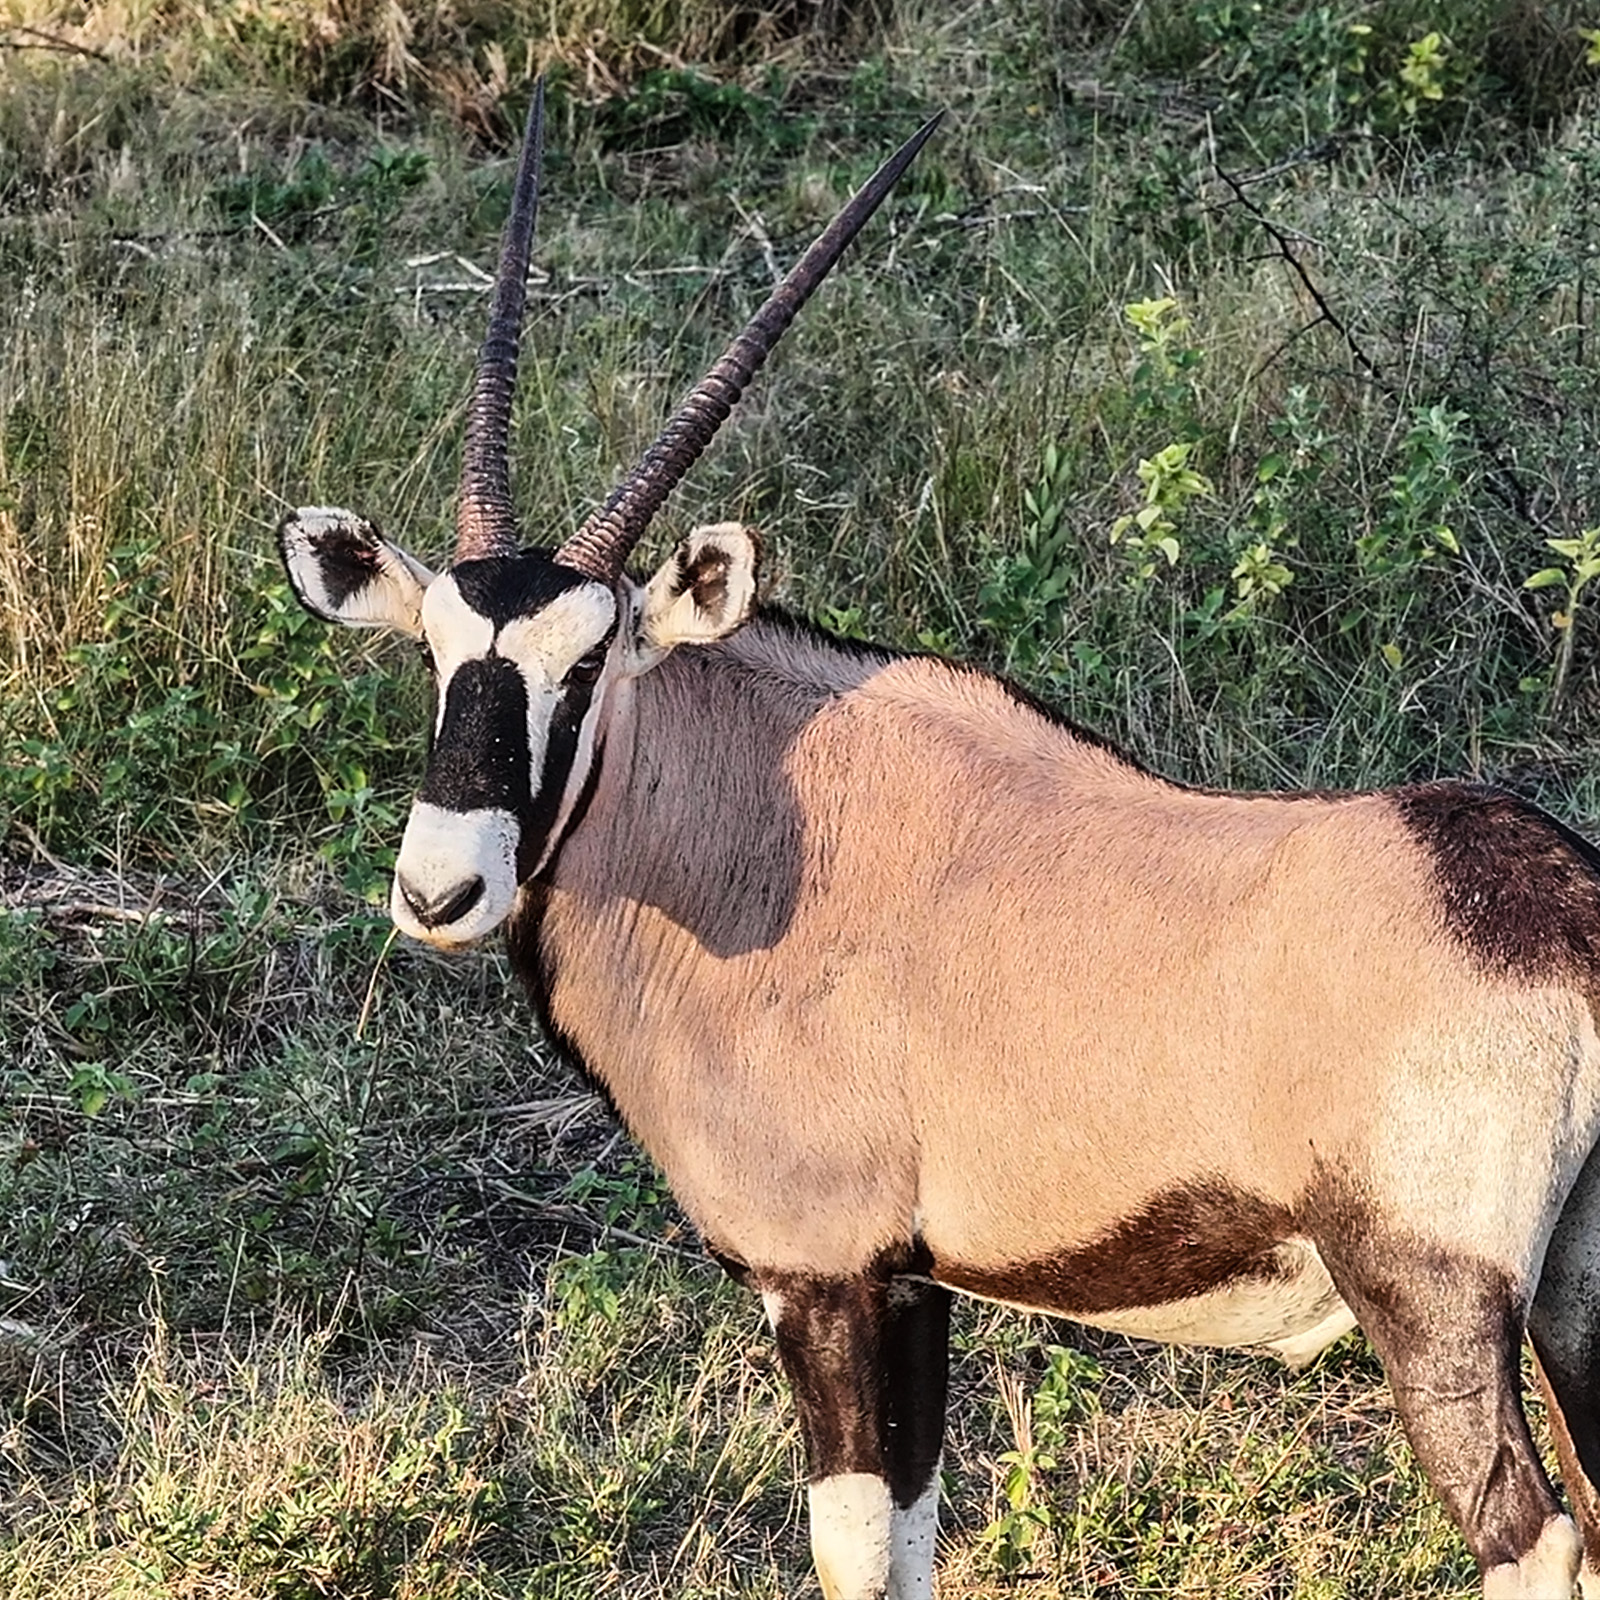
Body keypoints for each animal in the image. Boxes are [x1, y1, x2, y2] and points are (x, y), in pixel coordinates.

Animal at [278, 85, 1600, 1599]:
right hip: (1575, 1291)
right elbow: (908, 1542)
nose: (441, 887)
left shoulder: (830, 1280)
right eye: (435, 653)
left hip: (1429, 1296)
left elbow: (853, 1553)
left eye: (591, 662)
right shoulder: (911, 1286)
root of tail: (1558, 916)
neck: (764, 833)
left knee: (1532, 1537)